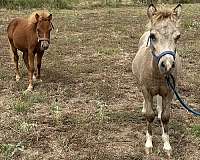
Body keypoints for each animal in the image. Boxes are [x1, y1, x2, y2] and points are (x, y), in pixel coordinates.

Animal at [132, 3, 182, 158]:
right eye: (153, 36)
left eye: (178, 36)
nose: (167, 64)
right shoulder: (147, 90)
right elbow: (149, 115)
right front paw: (148, 145)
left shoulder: (170, 91)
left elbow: (166, 117)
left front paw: (167, 146)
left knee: (159, 101)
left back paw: (159, 111)